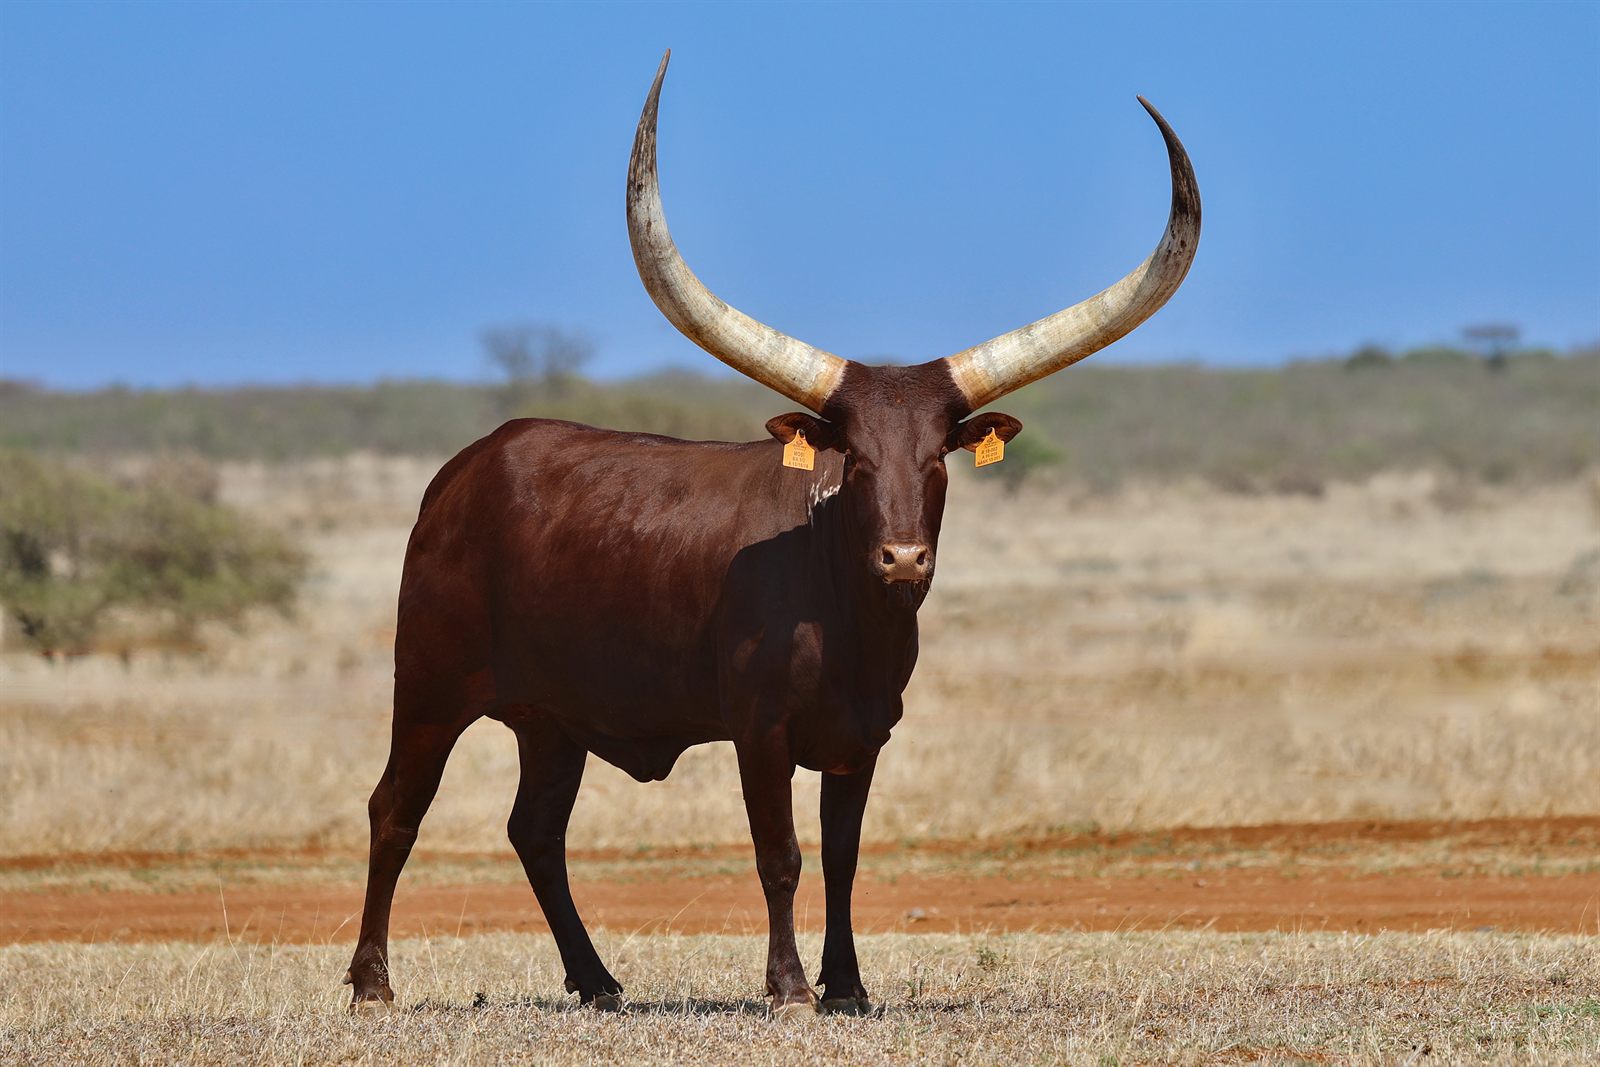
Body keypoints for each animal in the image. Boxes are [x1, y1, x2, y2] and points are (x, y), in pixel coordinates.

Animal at [344, 50, 1199, 1018]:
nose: (903, 556)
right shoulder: (761, 731)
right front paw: (790, 986)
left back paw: (596, 979)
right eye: (854, 458)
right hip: (429, 686)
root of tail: (463, 472)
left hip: (552, 720)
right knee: (395, 809)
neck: (846, 609)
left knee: (535, 830)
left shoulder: (862, 738)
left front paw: (850, 985)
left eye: (936, 459)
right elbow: (780, 857)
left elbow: (843, 860)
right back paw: (372, 981)